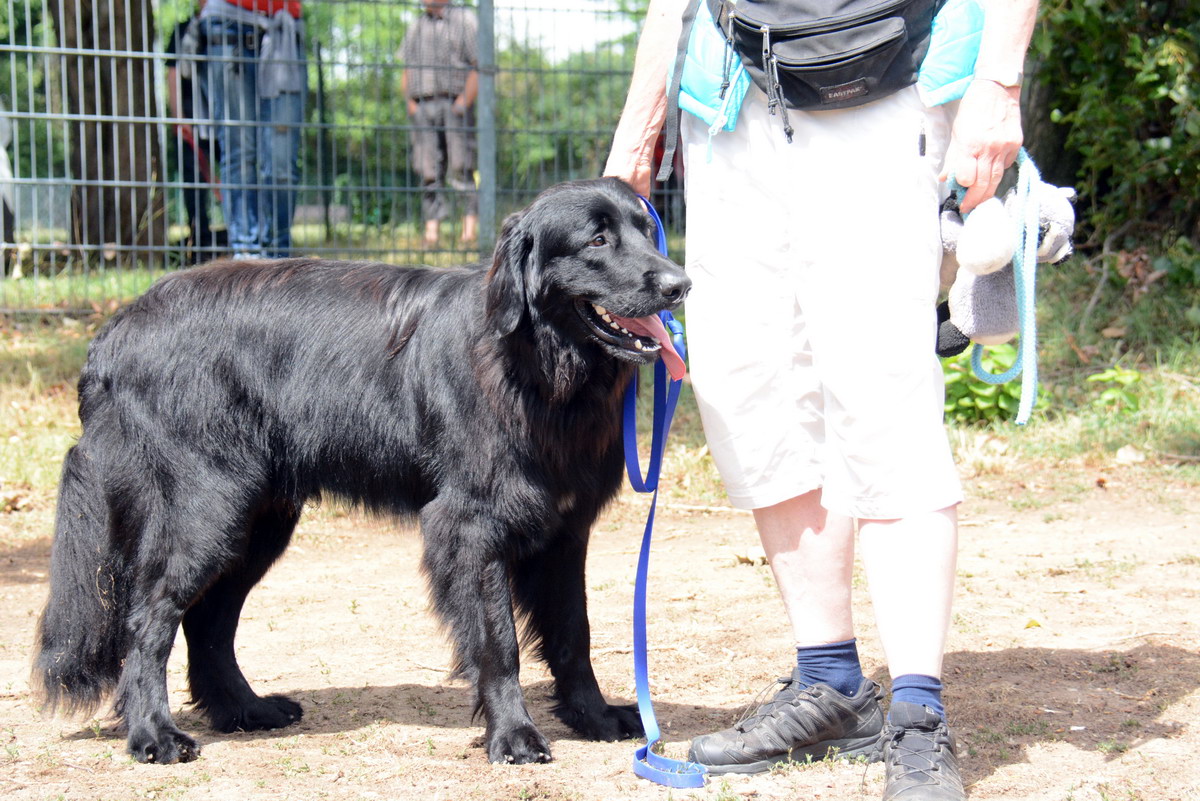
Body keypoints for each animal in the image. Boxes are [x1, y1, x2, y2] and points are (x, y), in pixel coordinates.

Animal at [32, 178, 691, 767]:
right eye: (597, 240)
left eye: (646, 230)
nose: (680, 284)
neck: (538, 366)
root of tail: (115, 330)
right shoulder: (470, 528)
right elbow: (499, 643)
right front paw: (514, 737)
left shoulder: (564, 531)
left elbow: (573, 633)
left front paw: (594, 717)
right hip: (206, 509)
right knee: (149, 618)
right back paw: (154, 735)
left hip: (257, 520)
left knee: (208, 622)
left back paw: (245, 710)